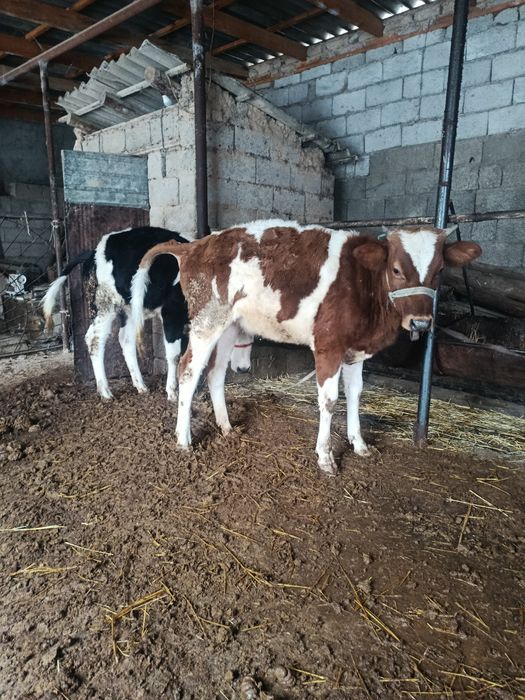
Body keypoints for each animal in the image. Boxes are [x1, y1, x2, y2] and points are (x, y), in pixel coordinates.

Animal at [42, 226, 253, 401]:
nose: (244, 368)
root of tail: (93, 251)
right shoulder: (171, 314)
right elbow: (174, 355)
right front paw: (172, 392)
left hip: (129, 308)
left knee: (125, 338)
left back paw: (140, 385)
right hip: (104, 303)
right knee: (94, 338)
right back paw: (105, 391)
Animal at [132, 220, 481, 474]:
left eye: (439, 271)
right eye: (396, 269)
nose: (421, 323)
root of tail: (196, 244)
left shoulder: (356, 351)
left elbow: (356, 394)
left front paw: (359, 444)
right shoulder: (328, 345)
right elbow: (329, 400)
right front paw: (325, 457)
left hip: (231, 323)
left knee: (216, 373)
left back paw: (227, 427)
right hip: (208, 319)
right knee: (189, 370)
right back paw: (184, 439)